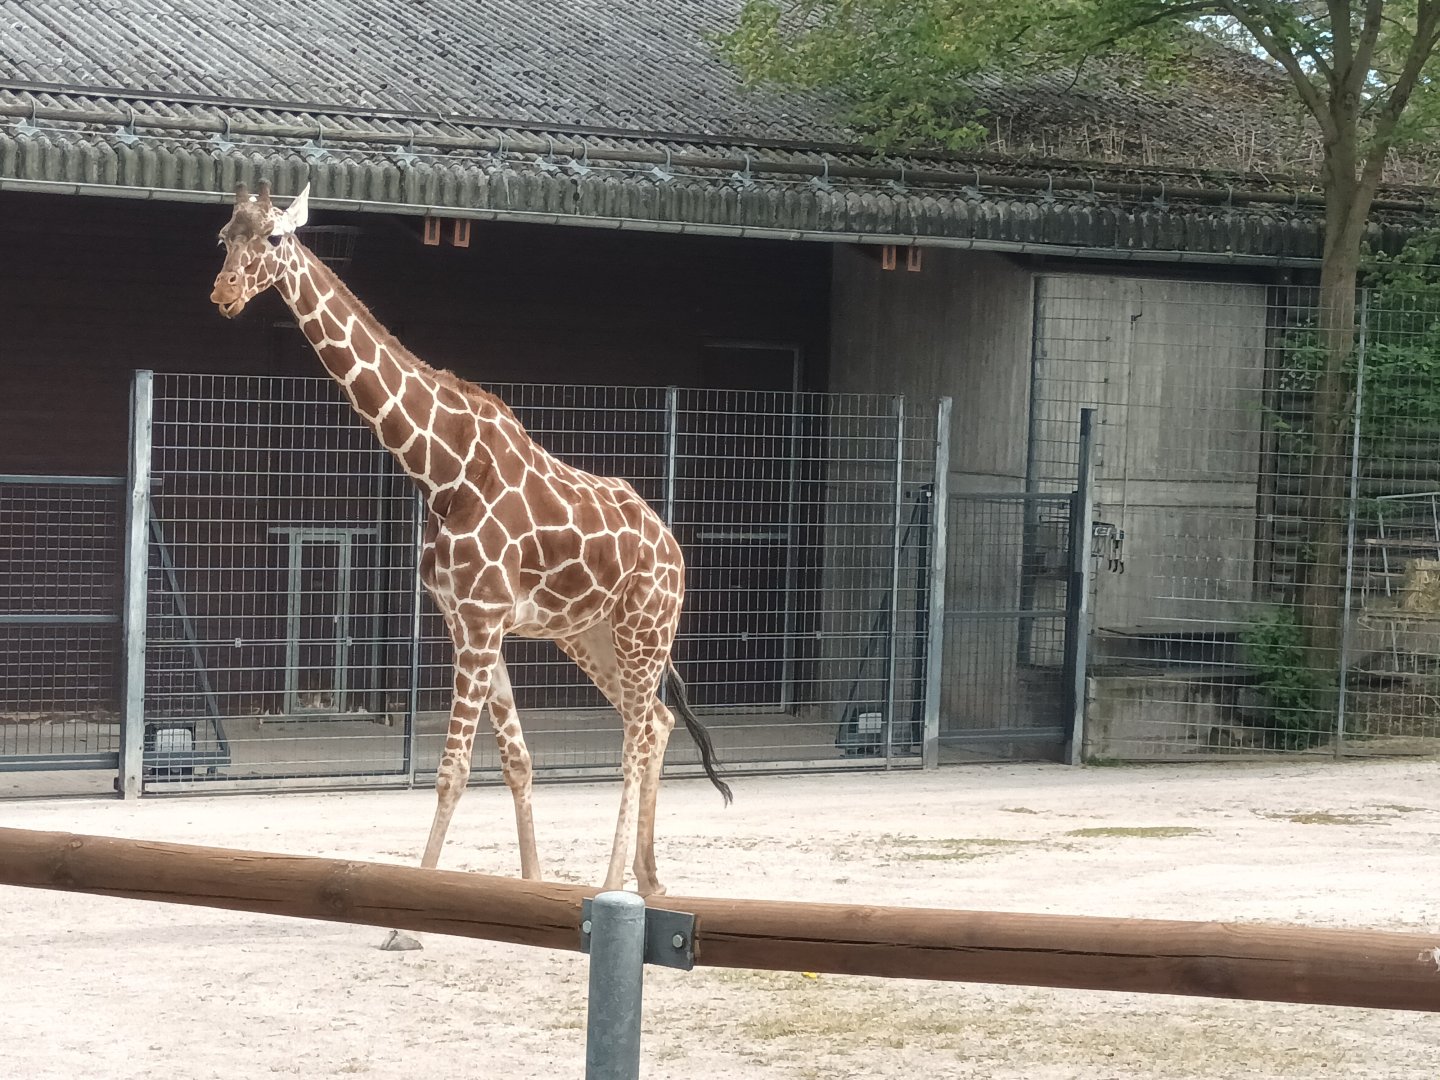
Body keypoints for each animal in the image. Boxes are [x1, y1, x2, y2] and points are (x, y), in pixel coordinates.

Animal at [209, 181, 731, 896]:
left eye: (275, 238)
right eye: (223, 237)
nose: (224, 292)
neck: (442, 467)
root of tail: (675, 550)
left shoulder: (483, 622)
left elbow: (453, 770)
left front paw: (415, 906)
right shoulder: (467, 621)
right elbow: (516, 759)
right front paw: (532, 883)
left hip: (643, 630)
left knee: (638, 736)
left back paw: (613, 884)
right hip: (590, 634)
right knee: (653, 718)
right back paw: (647, 879)